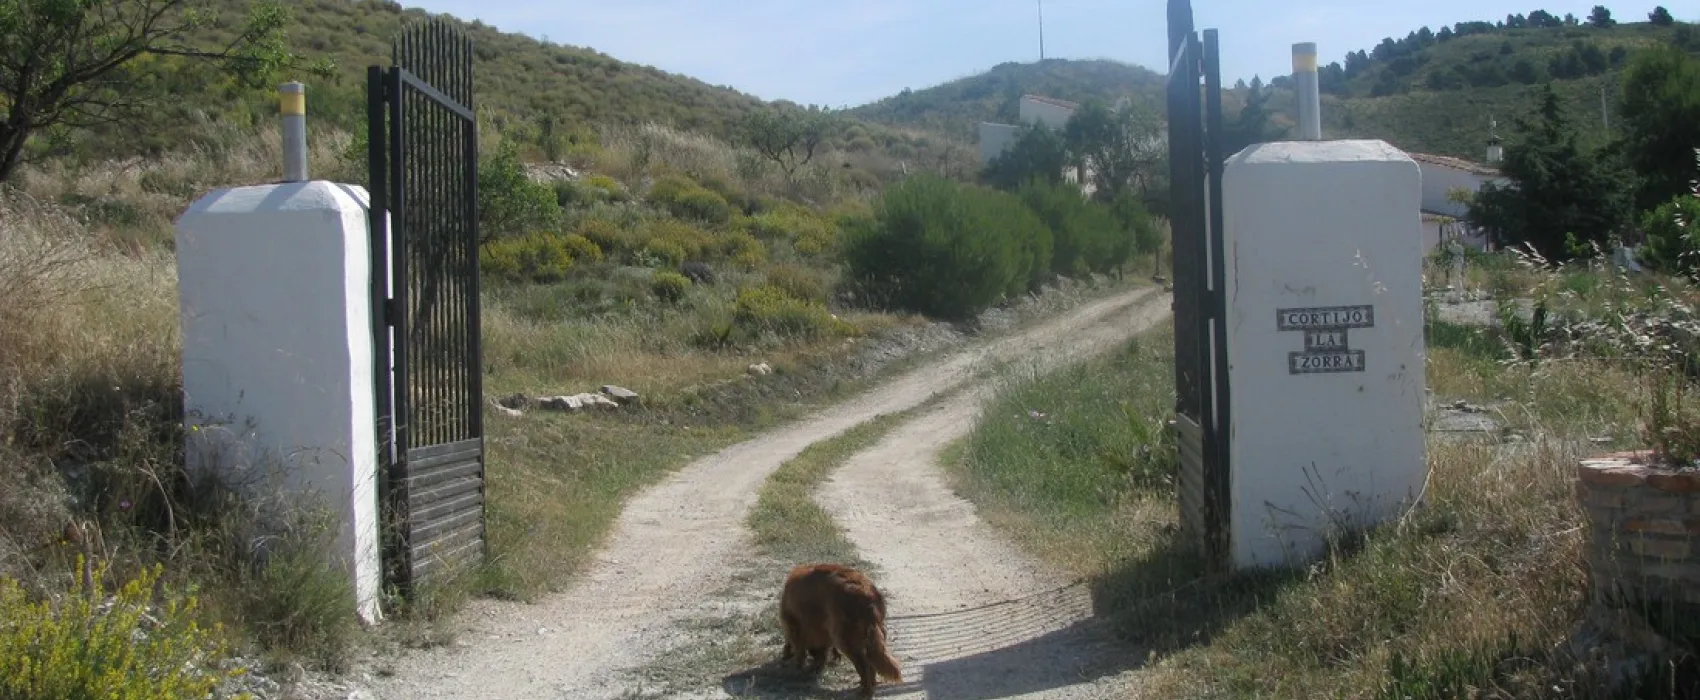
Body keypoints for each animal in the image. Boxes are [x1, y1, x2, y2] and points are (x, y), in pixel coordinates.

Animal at [778, 563, 903, 698]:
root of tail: (865, 593)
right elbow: (823, 650)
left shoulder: (796, 624)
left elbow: (800, 649)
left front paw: (800, 666)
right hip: (873, 633)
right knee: (870, 661)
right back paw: (870, 684)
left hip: (845, 638)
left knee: (864, 665)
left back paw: (865, 691)